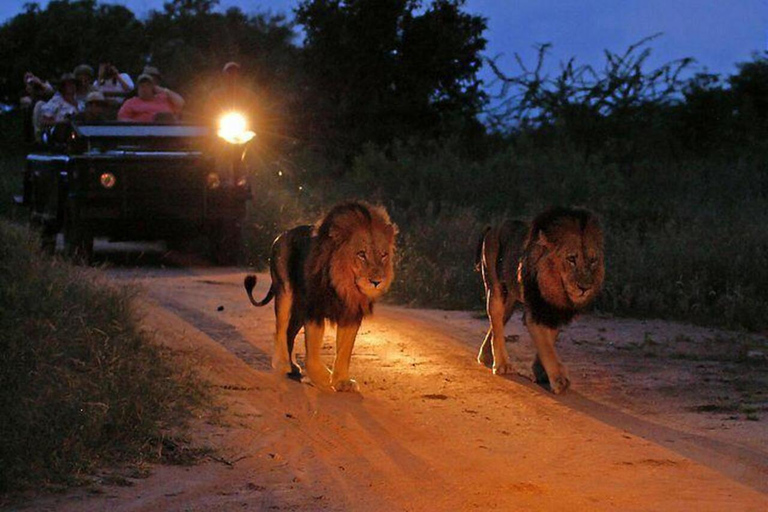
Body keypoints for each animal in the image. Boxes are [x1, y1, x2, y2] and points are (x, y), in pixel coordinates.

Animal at [243, 201, 400, 392]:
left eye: (384, 255)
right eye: (362, 254)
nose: (377, 281)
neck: (342, 285)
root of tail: (281, 235)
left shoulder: (351, 314)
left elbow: (344, 351)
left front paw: (342, 381)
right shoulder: (314, 309)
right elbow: (312, 351)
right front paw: (323, 377)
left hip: (298, 310)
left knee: (289, 332)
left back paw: (292, 367)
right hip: (284, 293)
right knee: (280, 329)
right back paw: (283, 364)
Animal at [474, 206, 608, 394]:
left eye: (593, 260)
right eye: (571, 258)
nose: (585, 287)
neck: (557, 290)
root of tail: (492, 227)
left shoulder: (554, 312)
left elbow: (549, 341)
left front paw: (541, 372)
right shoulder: (534, 313)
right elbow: (545, 345)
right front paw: (559, 379)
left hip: (510, 300)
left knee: (497, 324)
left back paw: (486, 356)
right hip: (495, 287)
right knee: (496, 322)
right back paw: (501, 364)